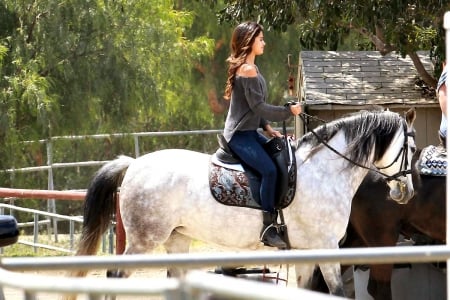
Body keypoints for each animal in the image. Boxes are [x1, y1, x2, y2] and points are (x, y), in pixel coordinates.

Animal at [66, 108, 414, 298]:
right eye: (410, 146)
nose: (405, 192)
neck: (324, 171)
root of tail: (134, 164)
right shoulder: (326, 248)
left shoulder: (306, 251)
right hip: (143, 240)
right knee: (115, 276)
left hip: (177, 240)